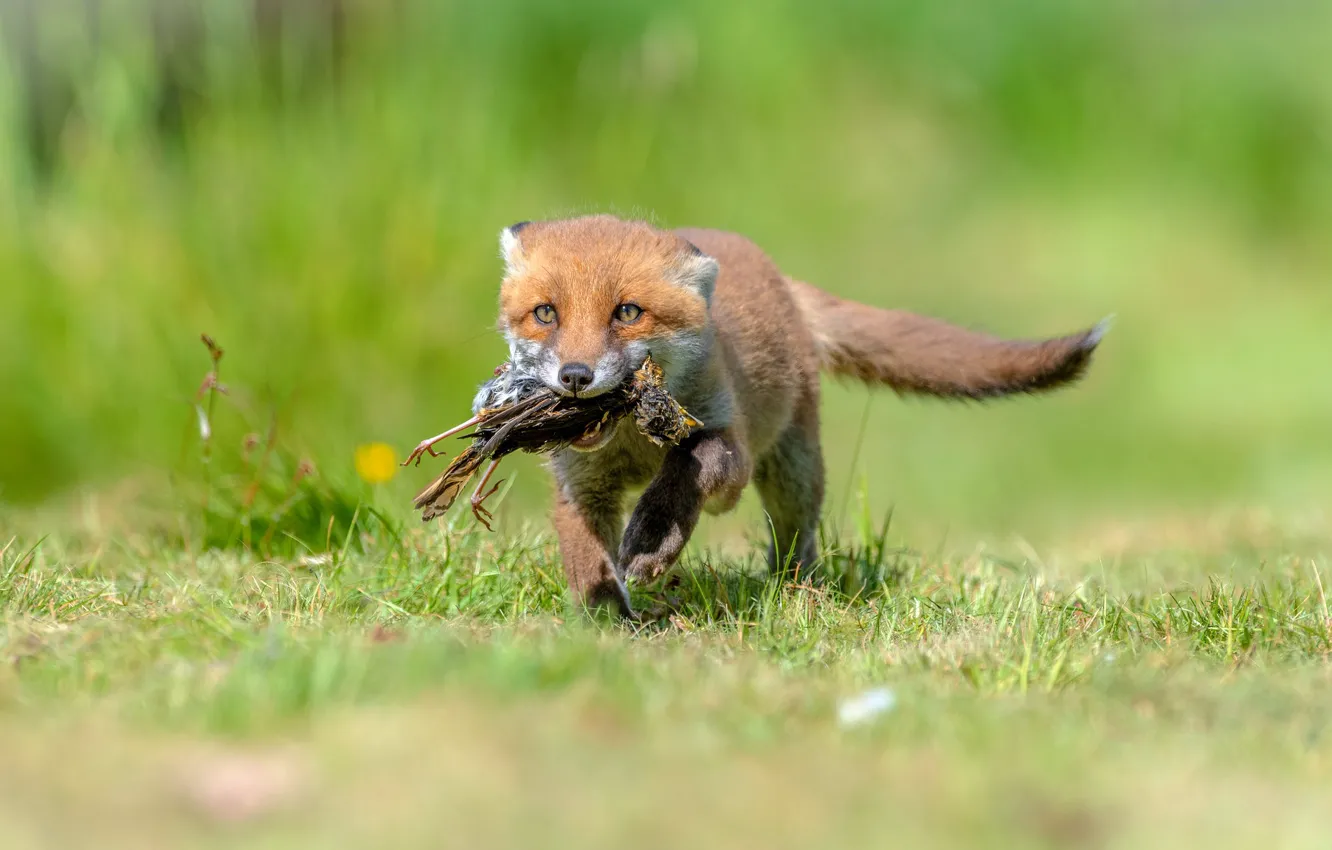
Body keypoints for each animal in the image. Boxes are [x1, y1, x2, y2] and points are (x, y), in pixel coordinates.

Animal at [485, 214, 1106, 618]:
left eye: (628, 312)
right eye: (546, 313)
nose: (575, 376)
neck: (635, 447)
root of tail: (779, 278)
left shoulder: (728, 453)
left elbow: (690, 465)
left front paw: (654, 540)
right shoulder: (581, 481)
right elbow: (586, 556)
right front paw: (604, 621)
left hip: (793, 470)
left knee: (796, 535)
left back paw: (795, 591)